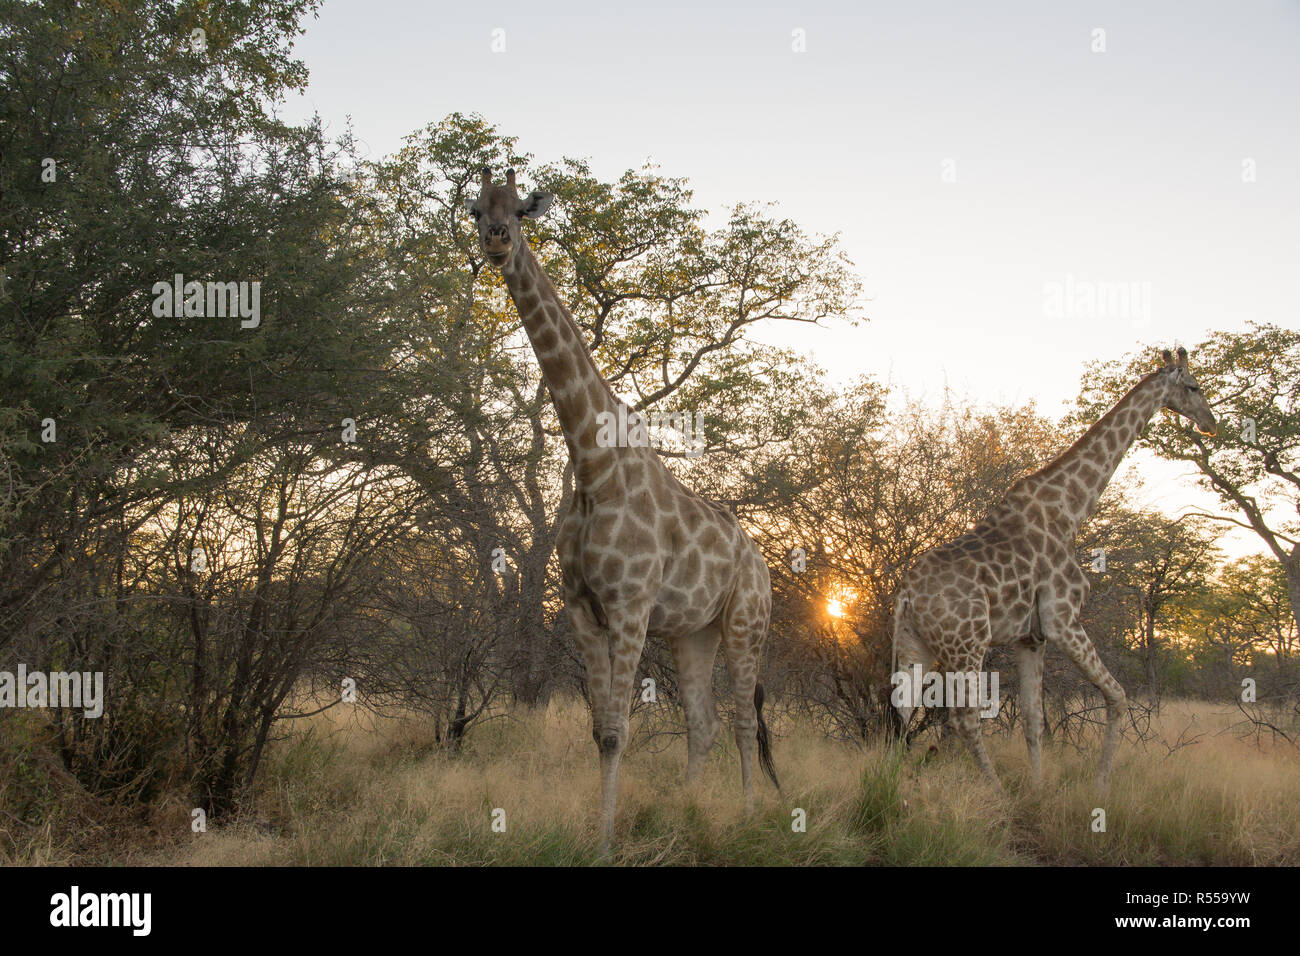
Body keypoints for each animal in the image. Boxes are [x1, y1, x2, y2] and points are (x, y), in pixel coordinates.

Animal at [467, 166, 774, 853]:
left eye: (520, 209)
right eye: (476, 210)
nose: (498, 240)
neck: (591, 465)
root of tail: (764, 563)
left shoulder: (630, 605)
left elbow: (618, 733)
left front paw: (606, 844)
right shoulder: (582, 607)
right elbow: (600, 730)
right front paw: (600, 834)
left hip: (746, 623)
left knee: (744, 721)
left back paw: (750, 818)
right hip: (693, 632)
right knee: (704, 722)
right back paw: (688, 815)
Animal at [889, 348, 1211, 790]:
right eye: (1194, 387)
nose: (1211, 424)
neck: (1072, 508)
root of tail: (907, 593)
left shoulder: (1031, 636)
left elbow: (1033, 718)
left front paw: (1039, 789)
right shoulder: (1063, 618)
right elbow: (1117, 696)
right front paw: (1100, 784)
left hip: (913, 645)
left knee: (904, 712)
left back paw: (895, 785)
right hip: (967, 643)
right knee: (963, 717)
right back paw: (996, 791)